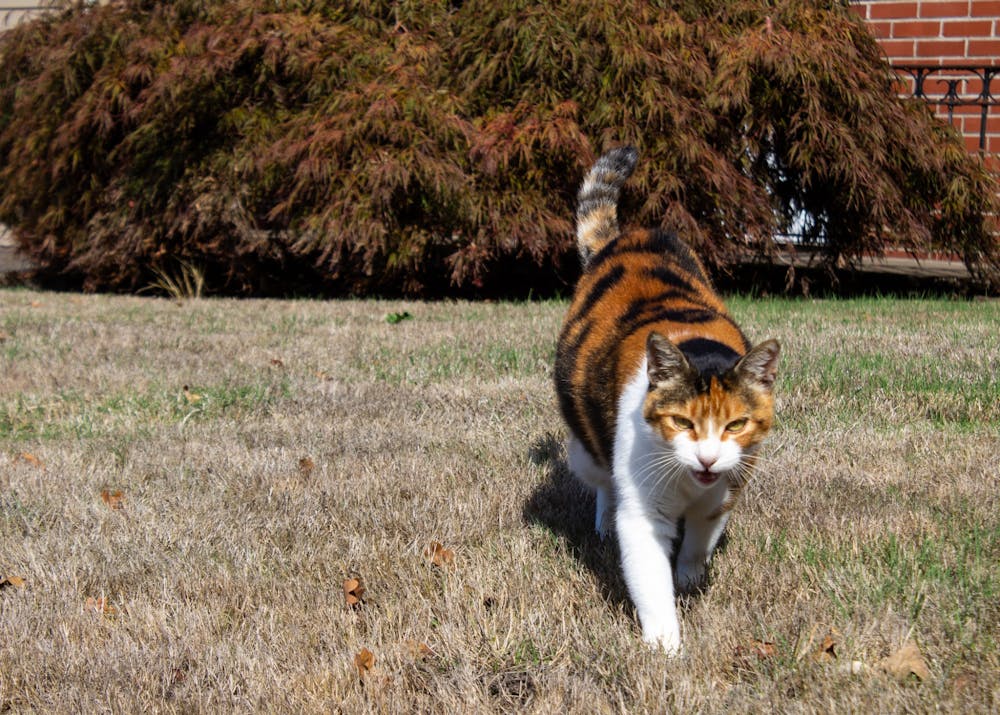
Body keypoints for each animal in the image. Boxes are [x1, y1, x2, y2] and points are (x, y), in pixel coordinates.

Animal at [556, 145, 780, 656]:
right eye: (681, 422)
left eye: (735, 425)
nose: (708, 458)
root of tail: (627, 236)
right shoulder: (643, 510)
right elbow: (649, 578)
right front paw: (665, 645)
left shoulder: (726, 492)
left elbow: (699, 540)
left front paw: (690, 579)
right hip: (585, 448)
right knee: (603, 482)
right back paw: (602, 522)